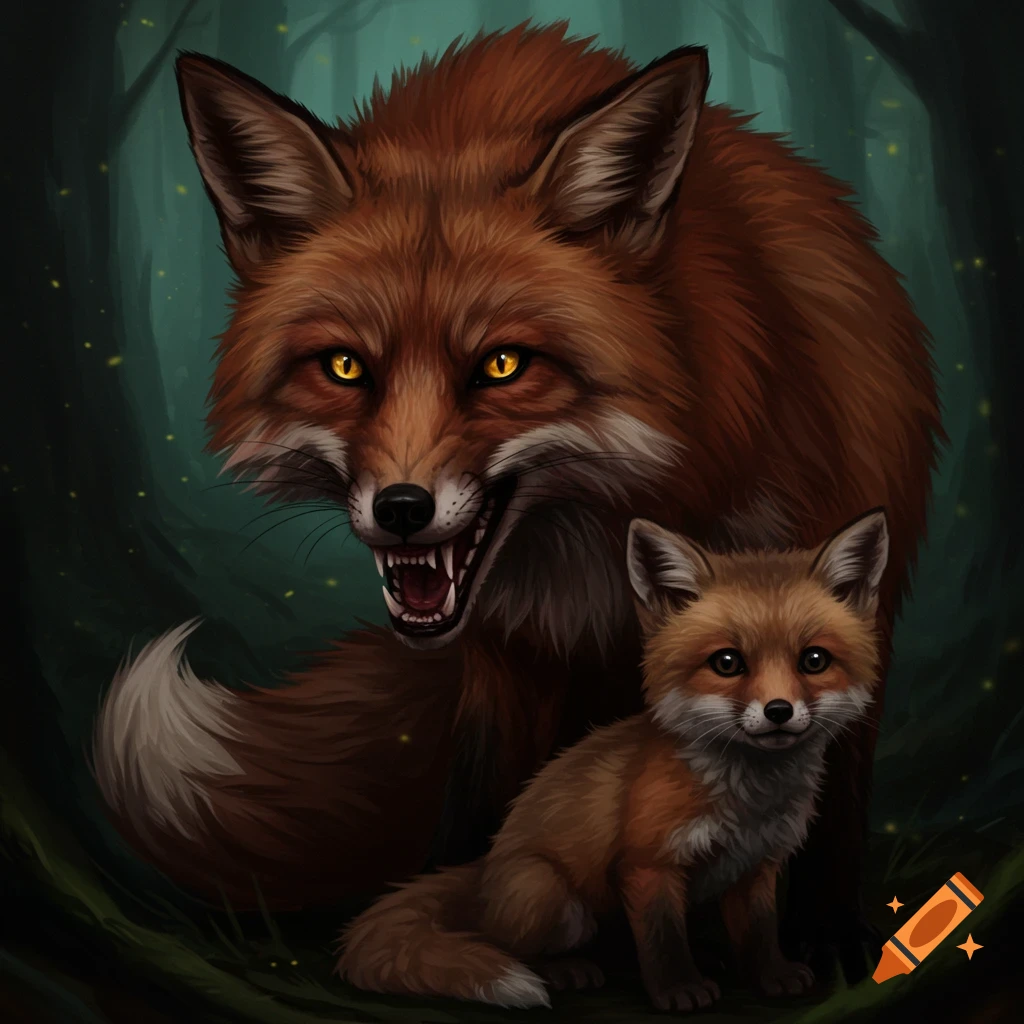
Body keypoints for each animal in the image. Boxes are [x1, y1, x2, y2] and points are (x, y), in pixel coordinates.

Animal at [338, 511, 889, 1011]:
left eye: (813, 660)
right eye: (727, 663)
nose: (779, 711)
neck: (747, 800)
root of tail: (485, 869)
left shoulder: (756, 865)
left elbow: (759, 932)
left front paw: (771, 976)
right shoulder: (646, 866)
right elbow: (663, 941)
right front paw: (678, 991)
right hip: (551, 896)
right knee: (508, 947)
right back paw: (568, 970)